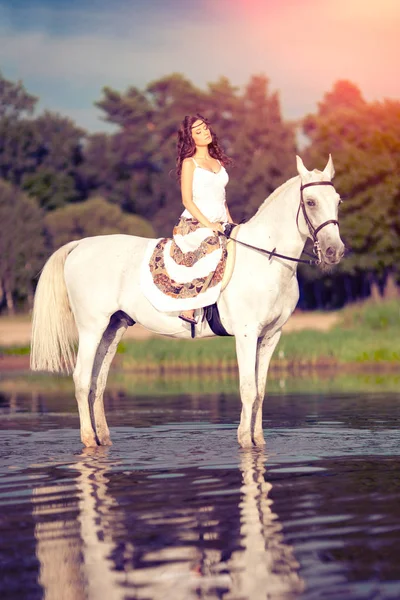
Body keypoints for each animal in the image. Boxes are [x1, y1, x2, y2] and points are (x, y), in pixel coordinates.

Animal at [30, 157, 344, 448]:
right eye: (311, 202)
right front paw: (245, 440)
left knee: (98, 382)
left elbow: (261, 390)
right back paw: (88, 439)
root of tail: (80, 245)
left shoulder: (270, 336)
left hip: (112, 329)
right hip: (91, 328)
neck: (267, 258)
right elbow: (248, 389)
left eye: (338, 201)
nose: (335, 251)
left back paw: (103, 438)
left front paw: (258, 441)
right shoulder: (246, 334)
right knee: (82, 380)